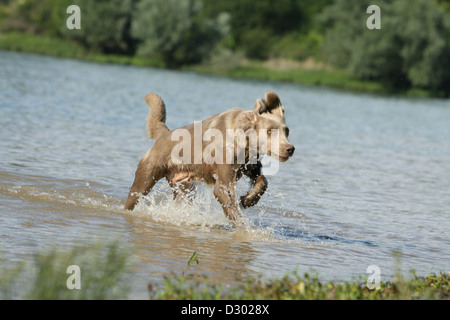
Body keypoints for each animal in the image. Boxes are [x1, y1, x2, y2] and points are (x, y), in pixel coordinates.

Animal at [125, 92, 294, 228]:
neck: (244, 140)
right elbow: (229, 203)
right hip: (148, 174)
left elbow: (263, 181)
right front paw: (245, 230)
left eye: (287, 131)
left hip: (184, 184)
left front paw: (247, 200)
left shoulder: (249, 165)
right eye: (270, 131)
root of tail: (165, 133)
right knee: (134, 196)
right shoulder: (224, 178)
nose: (290, 148)